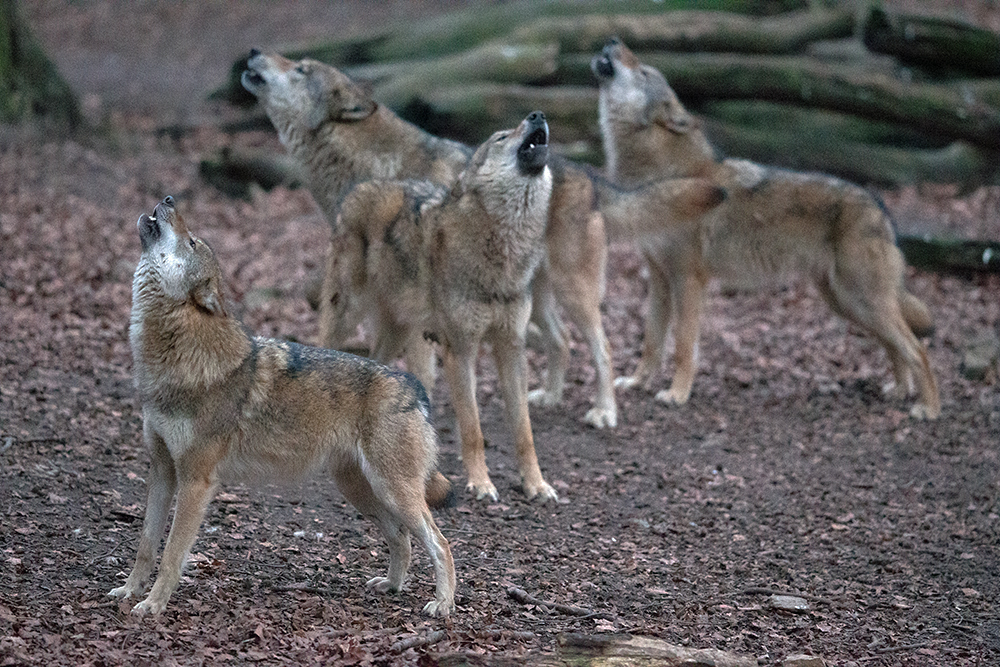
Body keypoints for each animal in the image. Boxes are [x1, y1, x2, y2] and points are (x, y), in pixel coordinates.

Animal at [107, 196, 456, 620]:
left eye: (191, 242)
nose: (170, 199)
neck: (173, 353)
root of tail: (414, 387)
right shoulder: (161, 471)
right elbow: (145, 545)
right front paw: (129, 591)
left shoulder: (196, 480)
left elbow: (172, 554)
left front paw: (154, 604)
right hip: (360, 489)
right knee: (402, 538)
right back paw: (391, 585)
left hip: (393, 491)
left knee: (440, 543)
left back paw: (443, 603)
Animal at [588, 39, 940, 420]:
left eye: (643, 72)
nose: (612, 40)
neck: (657, 175)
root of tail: (881, 208)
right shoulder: (659, 278)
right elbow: (651, 342)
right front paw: (637, 383)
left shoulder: (688, 280)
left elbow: (682, 346)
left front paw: (677, 394)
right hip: (848, 303)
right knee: (897, 347)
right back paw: (900, 391)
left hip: (862, 300)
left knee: (918, 349)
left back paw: (928, 408)